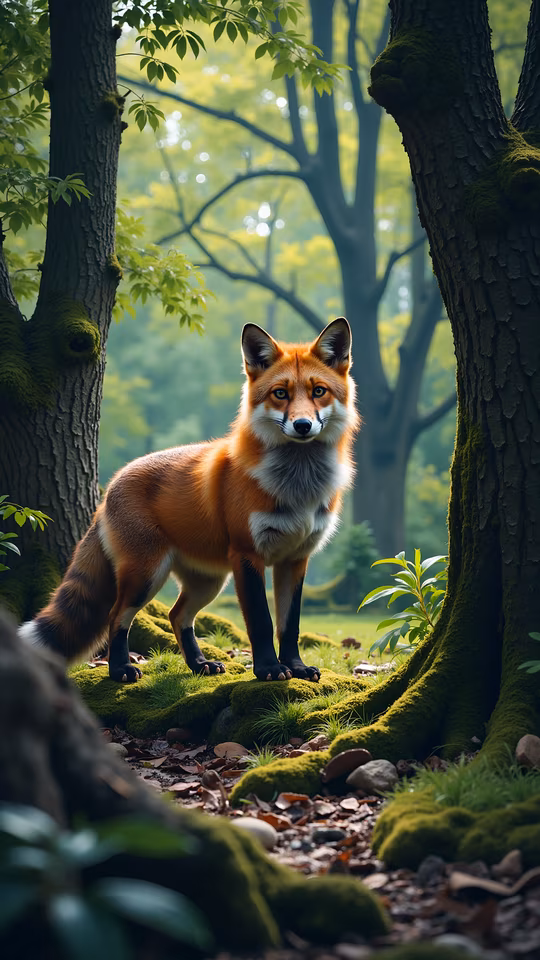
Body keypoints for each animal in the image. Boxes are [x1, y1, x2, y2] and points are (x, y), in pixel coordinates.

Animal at [20, 318, 359, 684]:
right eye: (280, 393)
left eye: (318, 391)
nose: (302, 425)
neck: (298, 487)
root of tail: (110, 486)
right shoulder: (248, 555)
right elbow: (261, 622)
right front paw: (269, 669)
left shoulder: (295, 560)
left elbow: (289, 625)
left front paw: (295, 667)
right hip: (147, 575)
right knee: (116, 616)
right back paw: (121, 669)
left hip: (208, 581)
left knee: (176, 615)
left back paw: (198, 664)